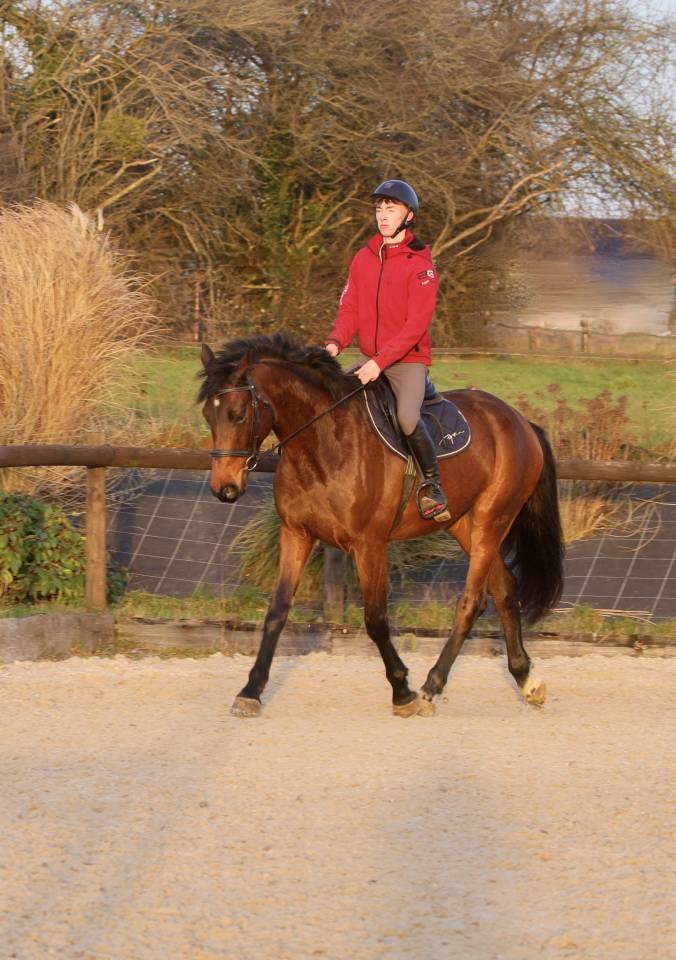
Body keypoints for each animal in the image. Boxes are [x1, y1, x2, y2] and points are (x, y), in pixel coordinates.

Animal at [199, 332, 564, 718]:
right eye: (208, 415)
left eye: (237, 415)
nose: (225, 489)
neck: (323, 443)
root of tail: (520, 422)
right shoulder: (296, 534)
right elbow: (277, 611)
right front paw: (250, 691)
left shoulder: (369, 545)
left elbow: (375, 620)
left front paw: (402, 690)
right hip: (465, 524)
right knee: (505, 588)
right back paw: (526, 679)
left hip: (492, 521)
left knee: (472, 602)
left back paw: (431, 687)